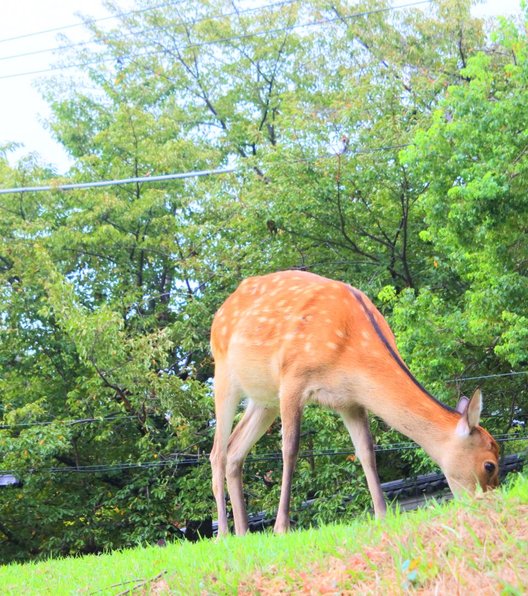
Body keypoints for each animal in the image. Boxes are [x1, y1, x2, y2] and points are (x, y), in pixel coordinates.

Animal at [209, 270, 500, 536]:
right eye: (489, 465)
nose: (490, 500)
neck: (349, 352)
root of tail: (222, 309)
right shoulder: (292, 377)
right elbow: (290, 448)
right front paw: (281, 527)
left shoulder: (350, 401)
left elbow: (367, 451)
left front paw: (382, 514)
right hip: (224, 373)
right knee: (217, 452)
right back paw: (223, 532)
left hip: (264, 399)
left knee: (235, 449)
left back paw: (243, 532)